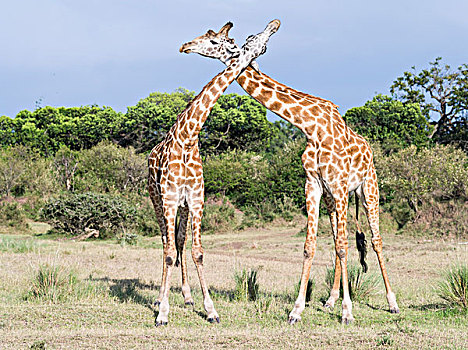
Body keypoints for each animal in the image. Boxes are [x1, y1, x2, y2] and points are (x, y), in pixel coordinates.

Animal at [148, 19, 280, 326]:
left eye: (213, 40)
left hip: (182, 207)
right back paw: (160, 298)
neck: (187, 137)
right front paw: (162, 314)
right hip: (156, 200)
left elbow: (197, 252)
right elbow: (169, 253)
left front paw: (210, 310)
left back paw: (186, 297)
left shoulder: (196, 200)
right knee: (165, 243)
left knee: (179, 242)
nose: (185, 45)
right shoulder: (169, 199)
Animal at [179, 21, 398, 324]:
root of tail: (369, 149)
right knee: (337, 241)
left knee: (375, 240)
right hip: (333, 200)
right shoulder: (314, 185)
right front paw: (297, 310)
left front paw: (347, 312)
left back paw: (391, 302)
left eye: (213, 40)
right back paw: (330, 300)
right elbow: (311, 246)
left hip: (367, 188)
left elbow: (344, 246)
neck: (310, 125)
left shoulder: (340, 185)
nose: (185, 46)